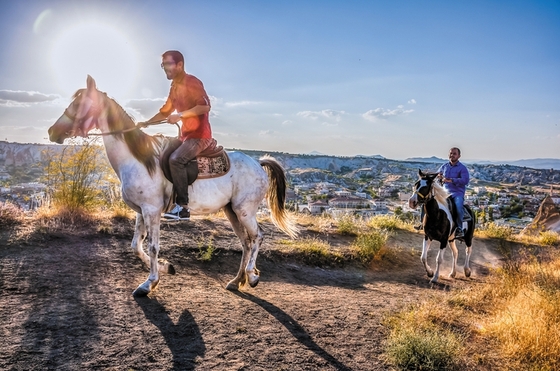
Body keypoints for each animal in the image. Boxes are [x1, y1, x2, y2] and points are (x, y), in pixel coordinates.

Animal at [49, 75, 298, 296]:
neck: (138, 161)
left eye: (78, 104)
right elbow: (136, 245)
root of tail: (258, 163)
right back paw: (237, 281)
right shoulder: (141, 211)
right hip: (231, 211)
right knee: (245, 242)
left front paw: (149, 283)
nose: (52, 132)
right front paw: (166, 267)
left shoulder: (152, 210)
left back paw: (252, 276)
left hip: (244, 210)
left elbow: (152, 246)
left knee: (257, 237)